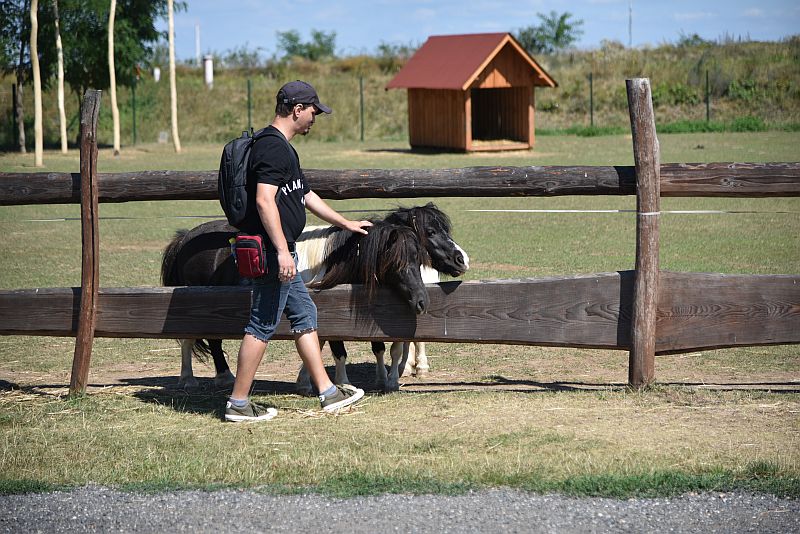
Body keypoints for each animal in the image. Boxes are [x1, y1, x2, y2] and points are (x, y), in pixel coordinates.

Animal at [162, 205, 468, 394]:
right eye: (431, 232)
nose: (461, 258)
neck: (336, 257)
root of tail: (185, 238)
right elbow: (336, 349)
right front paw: (340, 382)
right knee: (193, 340)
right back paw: (193, 378)